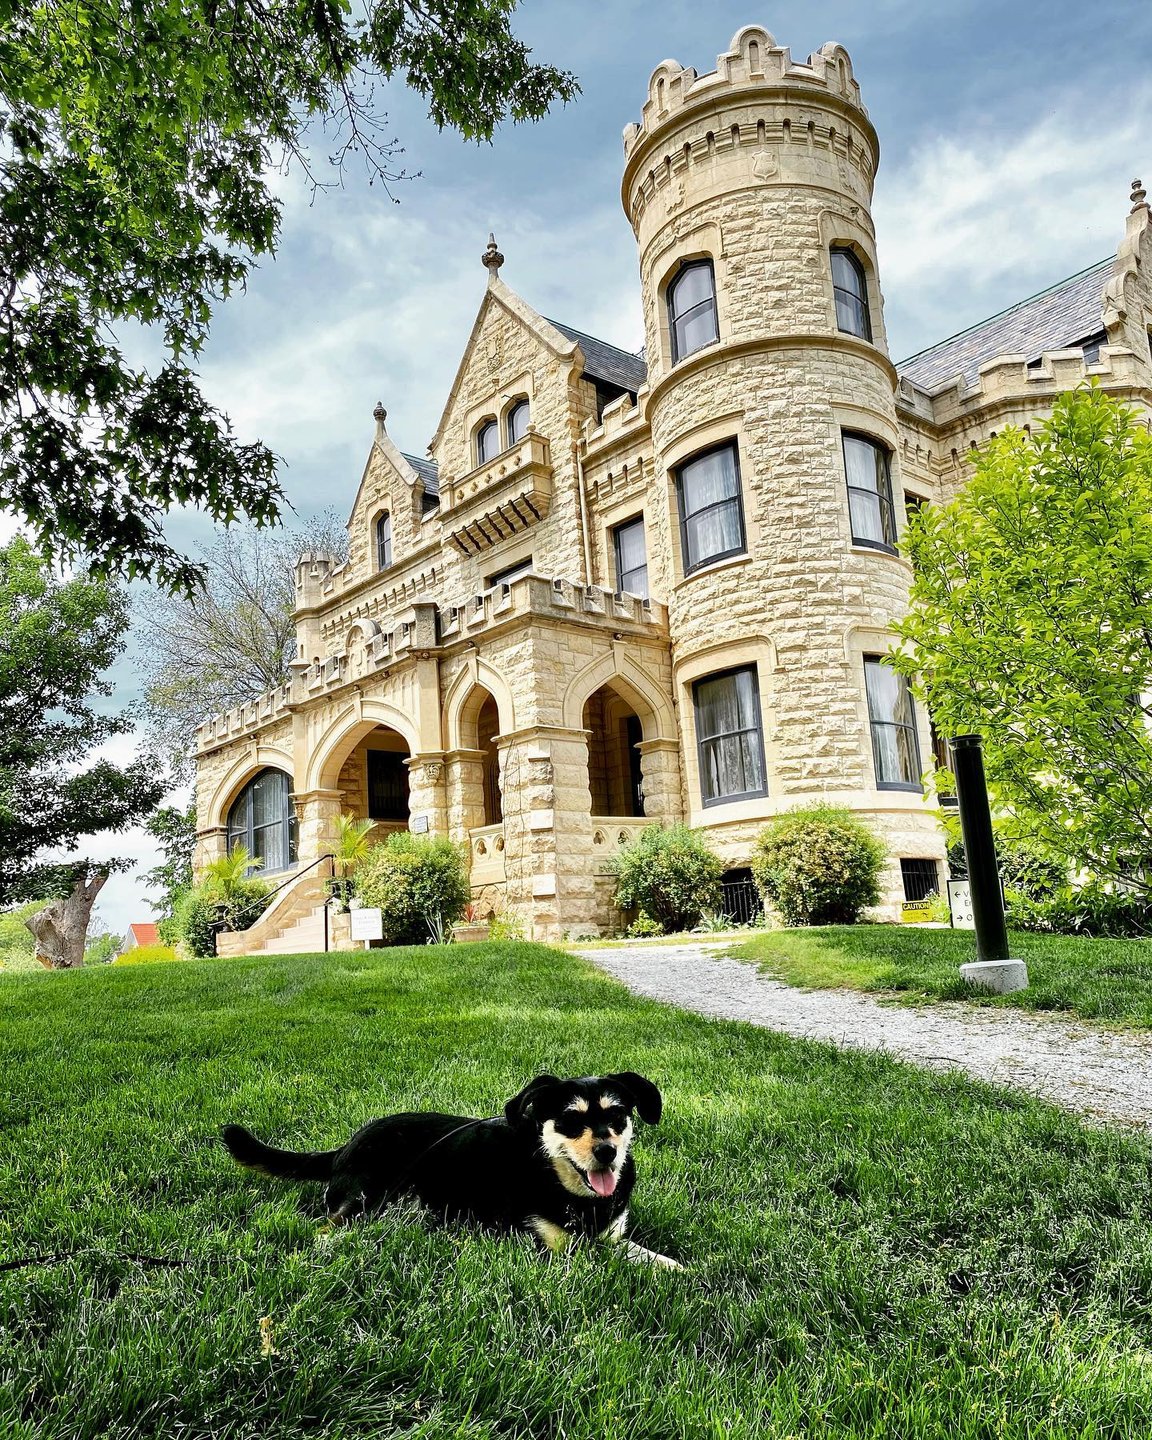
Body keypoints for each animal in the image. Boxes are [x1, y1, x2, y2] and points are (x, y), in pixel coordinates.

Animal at [220, 1077, 679, 1267]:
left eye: (617, 1116)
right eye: (570, 1121)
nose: (607, 1152)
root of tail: (344, 1148)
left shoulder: (611, 1235)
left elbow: (640, 1252)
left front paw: (676, 1268)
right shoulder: (547, 1248)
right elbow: (598, 1258)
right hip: (367, 1196)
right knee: (324, 1229)